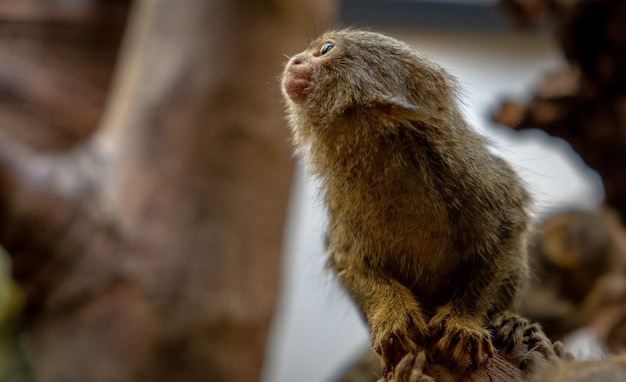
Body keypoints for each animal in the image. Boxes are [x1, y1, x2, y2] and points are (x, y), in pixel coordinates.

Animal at [280, 30, 528, 374]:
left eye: (326, 49)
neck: (384, 150)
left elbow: (506, 233)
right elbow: (350, 258)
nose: (296, 61)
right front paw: (395, 317)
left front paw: (463, 323)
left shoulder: (474, 173)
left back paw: (510, 321)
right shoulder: (340, 202)